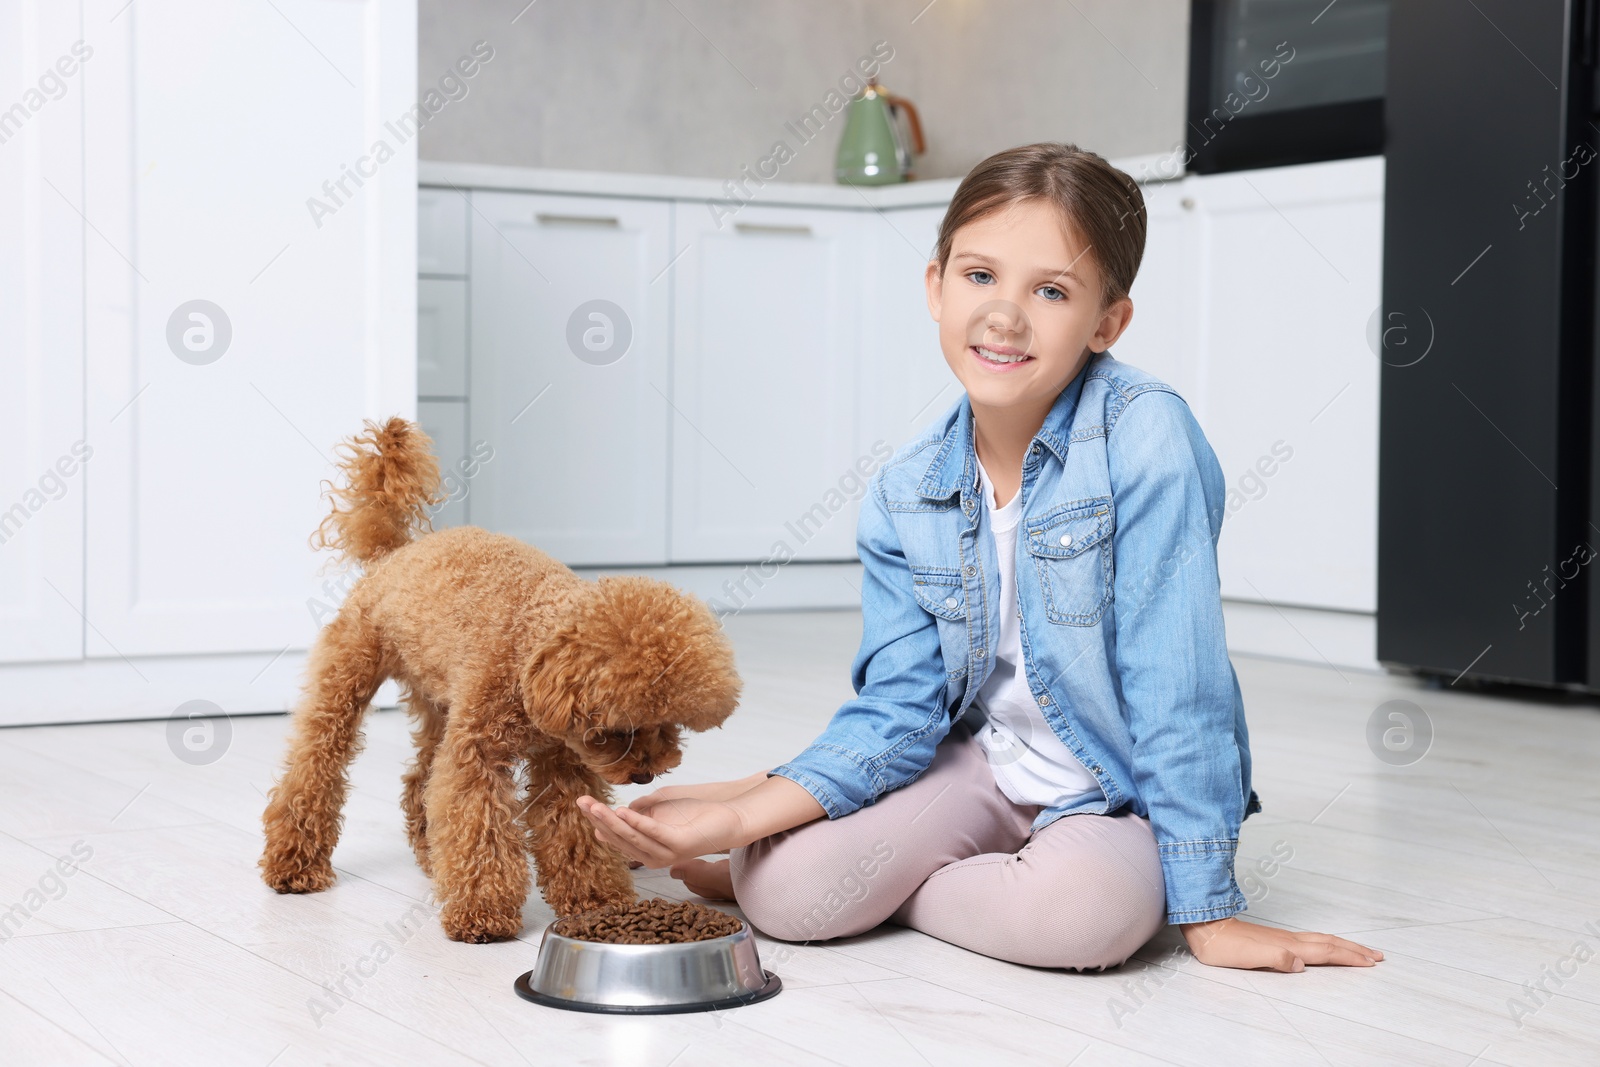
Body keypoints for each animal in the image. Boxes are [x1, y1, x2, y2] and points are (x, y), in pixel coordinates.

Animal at [259, 415, 739, 940]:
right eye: (618, 730)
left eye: (668, 725)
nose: (645, 774)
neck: (529, 650)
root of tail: (393, 554)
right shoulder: (480, 751)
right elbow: (479, 826)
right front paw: (482, 912)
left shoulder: (562, 761)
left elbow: (572, 830)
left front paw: (597, 900)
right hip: (348, 679)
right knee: (315, 765)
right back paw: (294, 865)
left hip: (439, 702)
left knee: (421, 779)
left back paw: (428, 855)